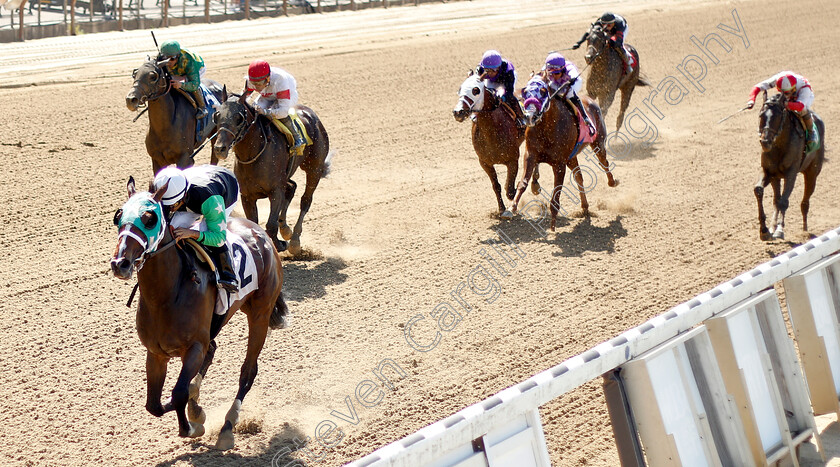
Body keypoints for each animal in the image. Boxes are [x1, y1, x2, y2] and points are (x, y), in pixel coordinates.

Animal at [110, 178, 288, 450]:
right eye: (118, 217)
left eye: (149, 218)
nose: (120, 264)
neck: (165, 296)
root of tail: (262, 234)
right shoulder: (156, 353)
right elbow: (154, 405)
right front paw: (196, 412)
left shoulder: (193, 347)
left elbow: (178, 393)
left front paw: (192, 426)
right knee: (212, 350)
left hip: (260, 314)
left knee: (248, 371)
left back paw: (227, 427)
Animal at [212, 93, 334, 258]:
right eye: (217, 115)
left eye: (239, 118)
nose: (219, 148)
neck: (254, 155)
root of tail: (311, 114)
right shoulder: (247, 196)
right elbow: (254, 223)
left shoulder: (275, 191)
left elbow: (271, 224)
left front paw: (280, 244)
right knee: (291, 187)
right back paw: (286, 229)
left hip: (314, 168)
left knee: (305, 200)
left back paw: (294, 241)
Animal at [452, 72, 524, 218]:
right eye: (459, 89)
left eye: (475, 90)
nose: (458, 112)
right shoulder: (485, 163)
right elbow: (496, 186)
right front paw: (501, 209)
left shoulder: (513, 160)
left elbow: (510, 190)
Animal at [508, 73, 620, 232]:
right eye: (525, 92)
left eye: (543, 91)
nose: (530, 117)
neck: (547, 127)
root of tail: (591, 100)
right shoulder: (530, 155)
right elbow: (523, 182)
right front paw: (511, 208)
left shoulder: (559, 164)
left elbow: (556, 194)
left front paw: (553, 226)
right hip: (571, 157)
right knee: (579, 176)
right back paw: (585, 207)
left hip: (598, 143)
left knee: (604, 163)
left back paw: (612, 182)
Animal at [756, 93, 828, 243]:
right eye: (761, 115)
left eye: (777, 116)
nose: (765, 142)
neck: (779, 146)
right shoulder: (768, 172)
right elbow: (759, 190)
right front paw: (765, 231)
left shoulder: (791, 174)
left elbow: (784, 202)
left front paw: (779, 230)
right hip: (776, 178)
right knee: (776, 200)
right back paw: (772, 227)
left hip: (812, 173)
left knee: (804, 203)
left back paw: (805, 231)